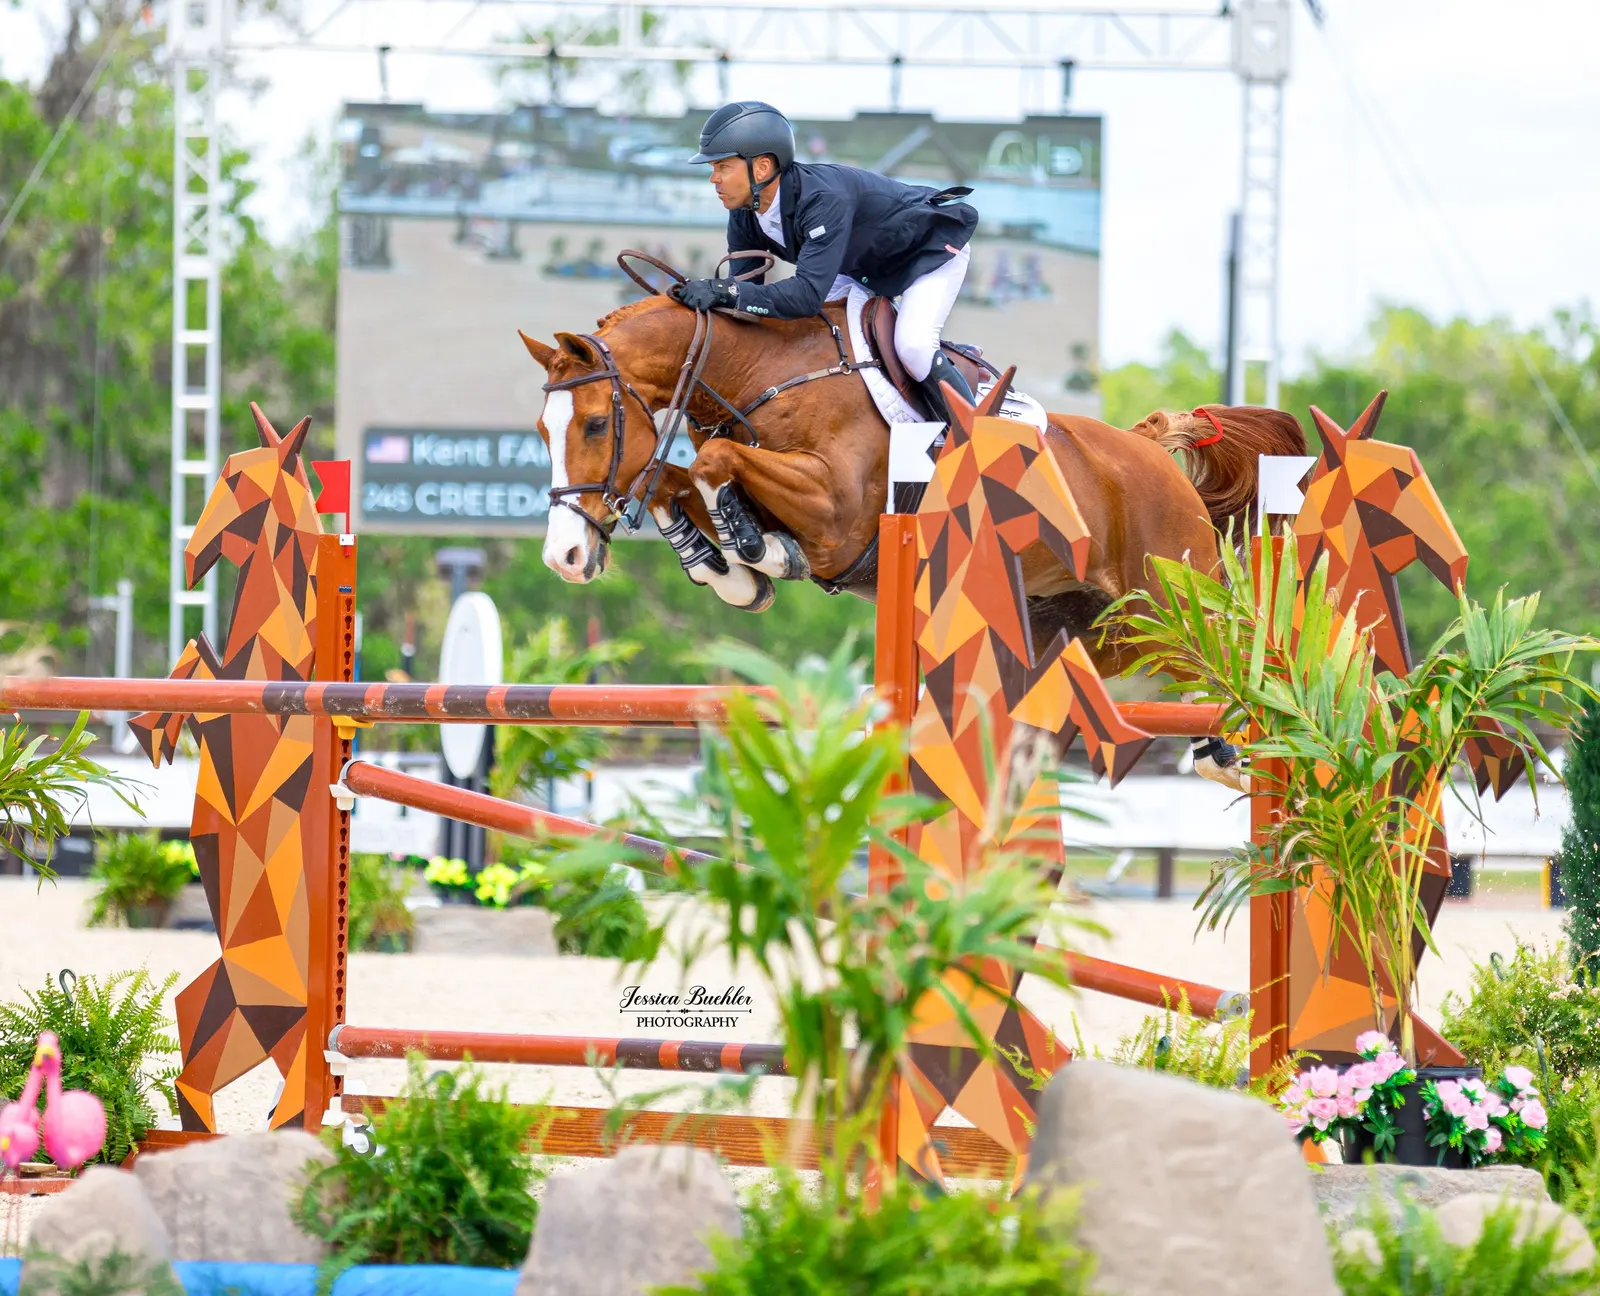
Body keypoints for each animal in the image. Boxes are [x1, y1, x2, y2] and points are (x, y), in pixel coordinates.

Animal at [130, 405, 325, 1131]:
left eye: (235, 480)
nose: (190, 562)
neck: (273, 647)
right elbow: (195, 653)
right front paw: (152, 728)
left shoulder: (233, 732)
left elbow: (196, 658)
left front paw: (149, 729)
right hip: (226, 1000)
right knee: (193, 1059)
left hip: (266, 1015)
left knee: (292, 1092)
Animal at [516, 293, 1307, 681]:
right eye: (542, 432)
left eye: (595, 424)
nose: (563, 559)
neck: (763, 375)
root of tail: (1149, 454)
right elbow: (676, 480)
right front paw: (729, 570)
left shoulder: (837, 519)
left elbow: (713, 466)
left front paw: (753, 555)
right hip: (1099, 633)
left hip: (1174, 601)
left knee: (1233, 658)